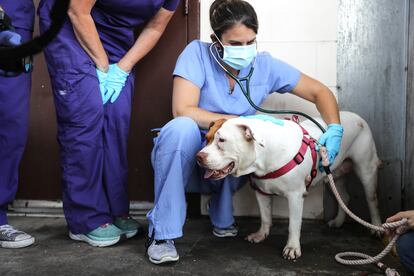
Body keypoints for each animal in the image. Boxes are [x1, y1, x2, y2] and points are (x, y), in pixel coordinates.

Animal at [197, 111, 382, 260]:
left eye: (222, 140)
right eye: (206, 139)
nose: (199, 157)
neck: (264, 154)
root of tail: (358, 117)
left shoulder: (295, 196)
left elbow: (293, 224)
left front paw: (292, 248)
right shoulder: (260, 192)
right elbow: (265, 216)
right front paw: (261, 235)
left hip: (366, 170)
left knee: (372, 199)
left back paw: (377, 227)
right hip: (333, 174)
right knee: (343, 197)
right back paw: (338, 222)